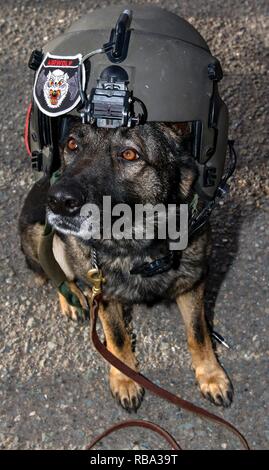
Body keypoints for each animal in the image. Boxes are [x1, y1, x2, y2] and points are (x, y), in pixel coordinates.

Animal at [19, 121, 232, 412]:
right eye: (72, 144)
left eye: (129, 154)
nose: (59, 200)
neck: (138, 245)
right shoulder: (105, 294)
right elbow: (117, 337)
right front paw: (125, 379)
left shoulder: (194, 282)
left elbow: (197, 333)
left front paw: (210, 375)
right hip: (41, 236)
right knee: (54, 272)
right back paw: (71, 298)